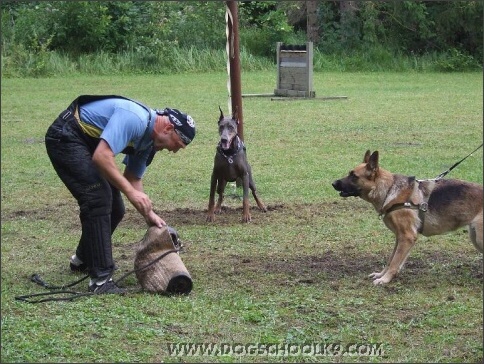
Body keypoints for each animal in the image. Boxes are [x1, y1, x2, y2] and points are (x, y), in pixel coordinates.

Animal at [332, 150, 484, 284]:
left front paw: (385, 279)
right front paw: (382, 274)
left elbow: (394, 262)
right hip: (475, 238)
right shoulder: (400, 237)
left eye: (354, 176)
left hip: (479, 238)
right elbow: (391, 259)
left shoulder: (407, 236)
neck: (389, 190)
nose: (333, 183)